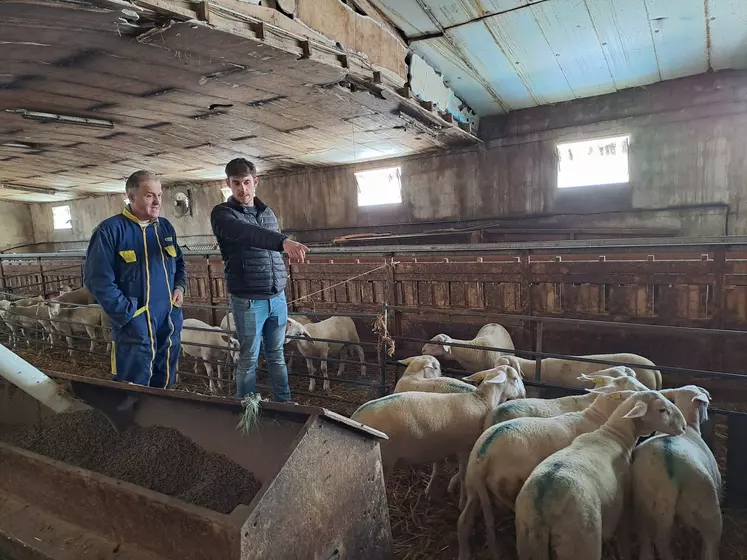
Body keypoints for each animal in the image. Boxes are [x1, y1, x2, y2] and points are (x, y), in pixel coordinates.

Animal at [350, 364, 524, 508]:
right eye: (515, 378)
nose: (523, 394)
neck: (481, 401)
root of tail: (356, 418)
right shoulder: (464, 449)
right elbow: (463, 476)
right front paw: (462, 503)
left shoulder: (438, 447)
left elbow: (437, 469)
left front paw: (430, 492)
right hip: (385, 461)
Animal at [456, 372, 648, 560]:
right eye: (633, 388)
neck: (597, 416)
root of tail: (485, 455)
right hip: (509, 484)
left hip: (473, 485)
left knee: (464, 519)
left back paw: (464, 551)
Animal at [516, 390, 688, 560]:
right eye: (662, 410)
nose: (684, 427)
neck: (613, 436)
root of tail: (544, 503)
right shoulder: (623, 505)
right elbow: (624, 539)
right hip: (583, 540)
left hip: (528, 542)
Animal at [636, 384, 720, 560]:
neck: (688, 426)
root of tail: (667, 482)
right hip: (707, 508)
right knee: (710, 544)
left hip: (641, 503)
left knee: (646, 540)